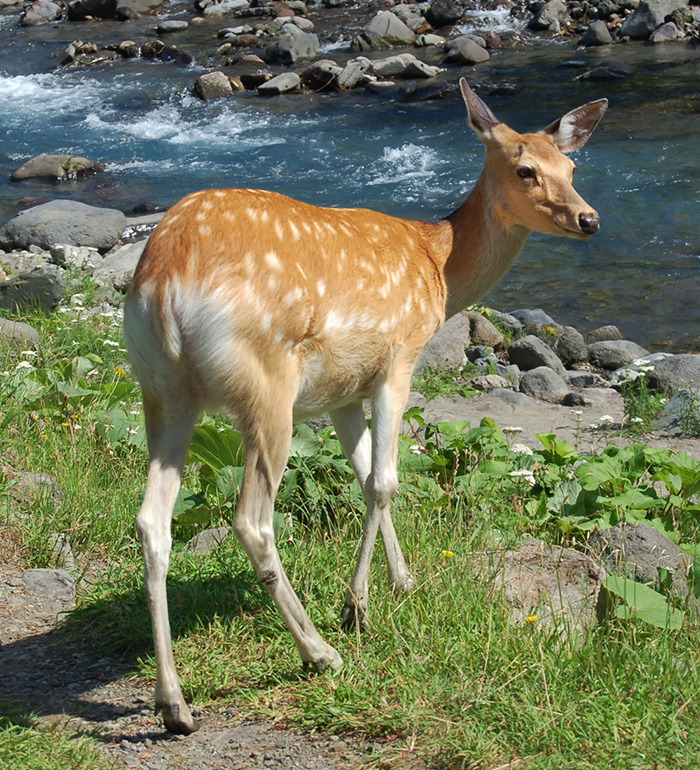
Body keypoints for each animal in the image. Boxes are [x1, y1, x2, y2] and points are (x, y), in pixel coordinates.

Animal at [123, 78, 607, 735]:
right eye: (525, 168)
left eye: (573, 166)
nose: (589, 218)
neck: (438, 268)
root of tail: (166, 279)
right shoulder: (399, 358)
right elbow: (385, 480)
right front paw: (359, 604)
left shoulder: (343, 391)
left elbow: (361, 475)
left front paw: (402, 581)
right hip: (265, 387)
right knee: (251, 520)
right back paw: (319, 652)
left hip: (163, 390)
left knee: (152, 520)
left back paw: (173, 703)